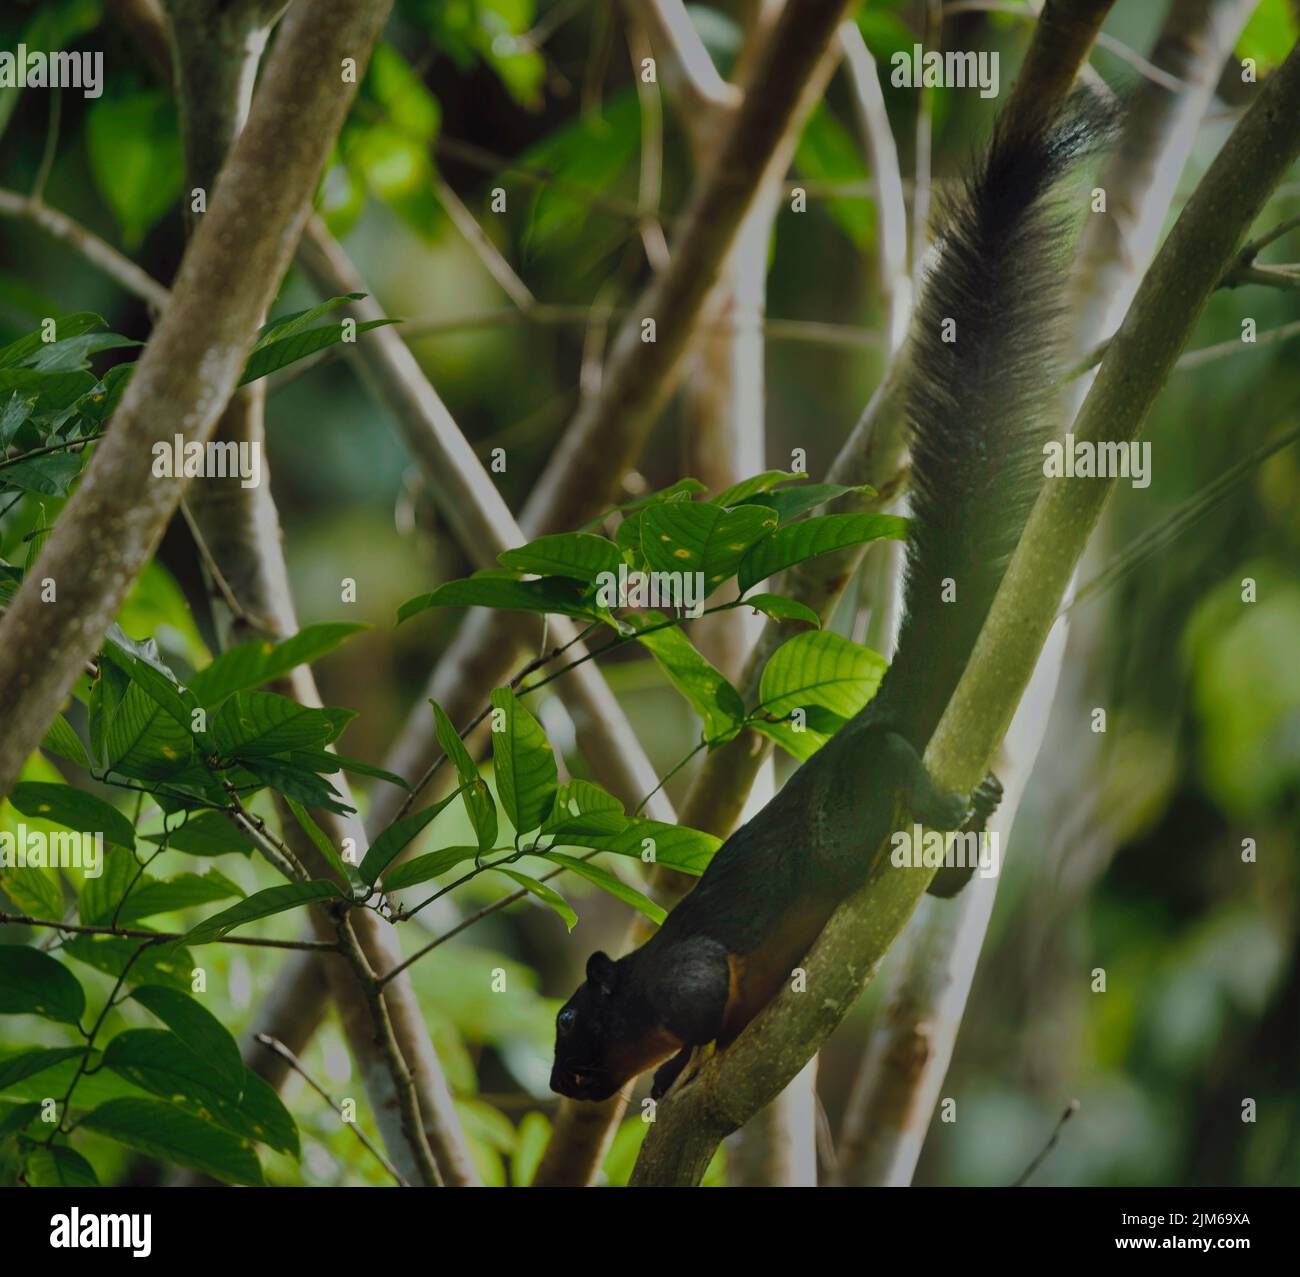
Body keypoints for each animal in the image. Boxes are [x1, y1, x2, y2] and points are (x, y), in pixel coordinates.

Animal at [551, 96, 1111, 1104]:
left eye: (572, 1018)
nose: (555, 1081)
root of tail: (884, 709)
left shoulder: (682, 971)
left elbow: (703, 993)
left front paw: (682, 1064)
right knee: (942, 878)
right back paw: (976, 811)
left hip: (845, 814)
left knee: (877, 778)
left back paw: (933, 796)